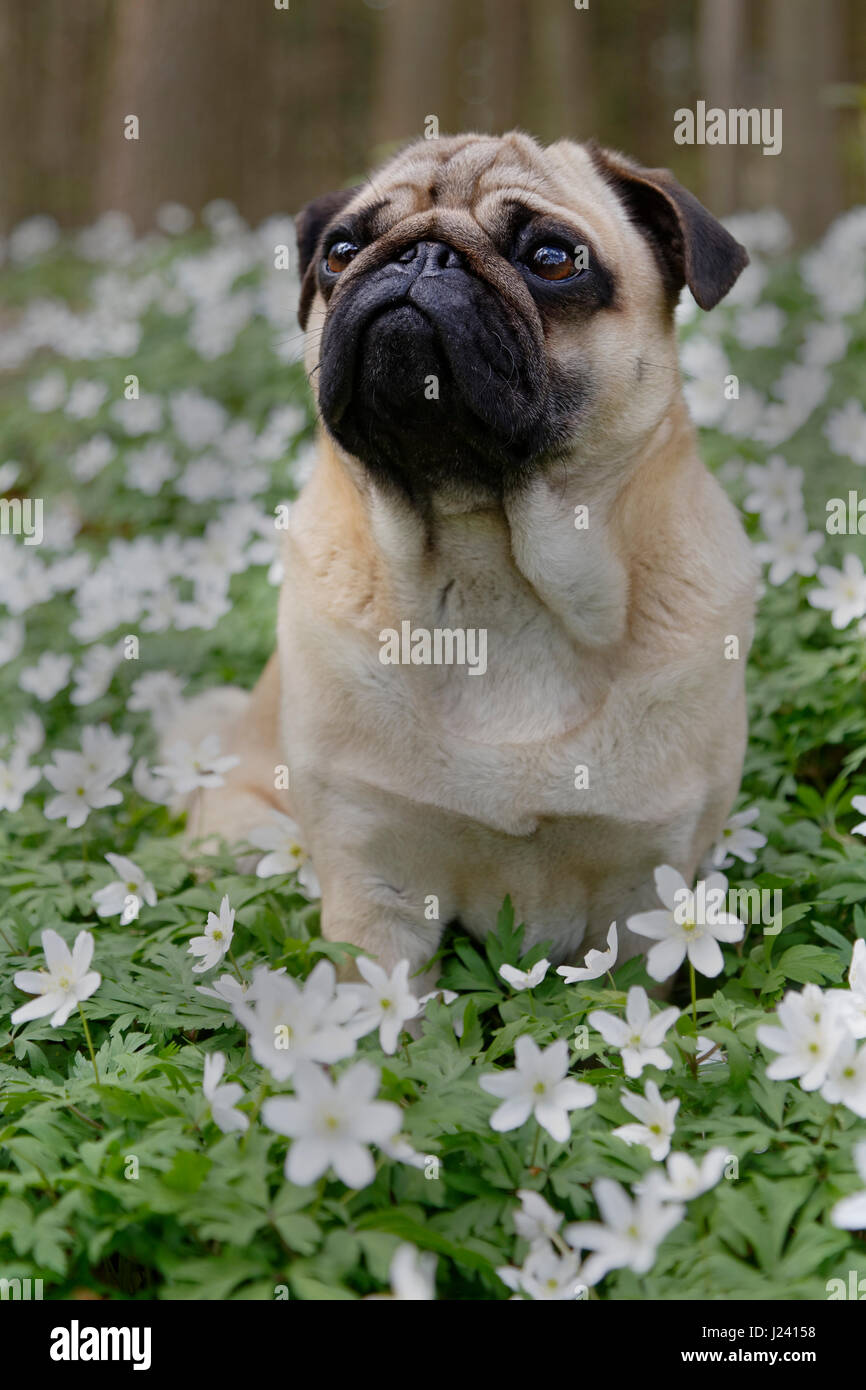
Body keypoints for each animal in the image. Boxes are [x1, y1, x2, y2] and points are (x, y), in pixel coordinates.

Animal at [173, 130, 756, 995]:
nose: (422, 255)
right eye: (339, 251)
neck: (491, 572)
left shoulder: (644, 895)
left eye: (553, 258)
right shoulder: (374, 884)